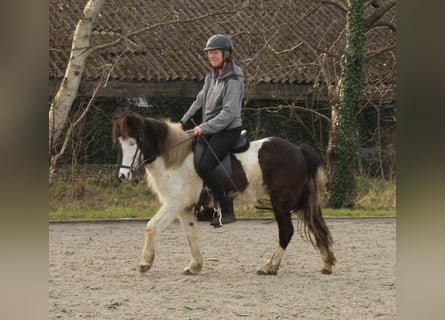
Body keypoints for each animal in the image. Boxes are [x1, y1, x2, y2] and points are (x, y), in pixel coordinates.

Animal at [112, 110, 334, 276]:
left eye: (133, 142)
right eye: (119, 142)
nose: (122, 175)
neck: (175, 158)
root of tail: (299, 150)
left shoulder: (175, 203)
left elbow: (151, 227)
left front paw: (145, 263)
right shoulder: (185, 206)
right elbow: (190, 235)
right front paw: (195, 266)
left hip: (281, 203)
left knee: (286, 231)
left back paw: (269, 266)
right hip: (294, 203)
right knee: (314, 224)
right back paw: (327, 263)